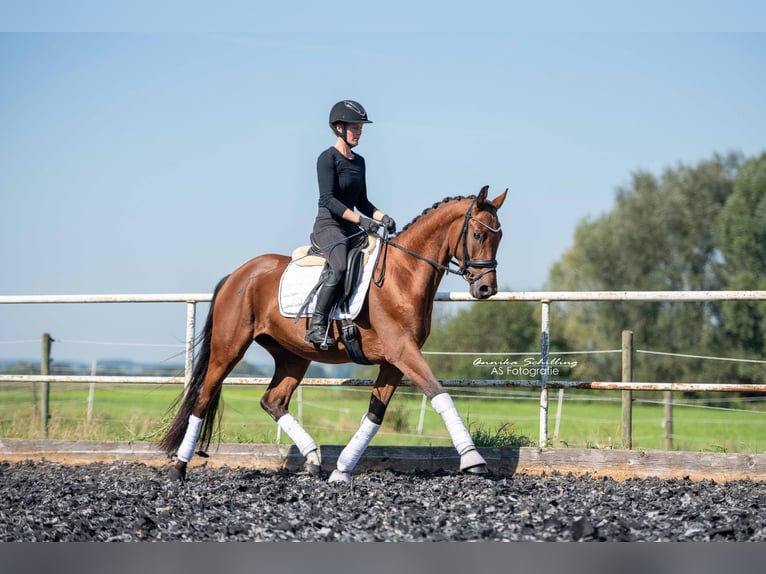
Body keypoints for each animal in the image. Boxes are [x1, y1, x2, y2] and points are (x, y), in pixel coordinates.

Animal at [160, 187, 510, 484]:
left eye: (500, 236)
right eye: (478, 234)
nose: (486, 289)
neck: (403, 275)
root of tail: (237, 275)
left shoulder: (394, 361)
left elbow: (375, 414)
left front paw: (341, 470)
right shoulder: (402, 352)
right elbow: (440, 394)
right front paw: (473, 460)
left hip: (293, 356)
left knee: (273, 401)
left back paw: (314, 458)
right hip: (229, 348)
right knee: (203, 397)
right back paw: (179, 468)